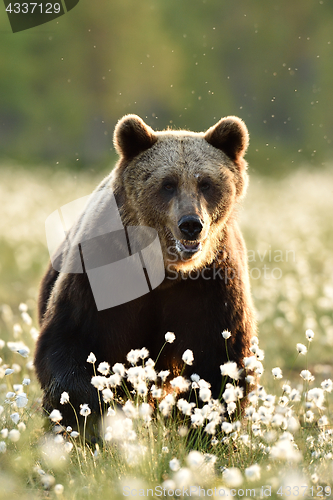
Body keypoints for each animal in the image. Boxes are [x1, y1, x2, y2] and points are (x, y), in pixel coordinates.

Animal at [34, 114, 256, 430]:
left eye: (206, 183)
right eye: (168, 184)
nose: (191, 223)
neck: (164, 270)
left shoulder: (212, 284)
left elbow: (222, 358)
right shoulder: (104, 272)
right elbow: (71, 343)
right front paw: (99, 412)